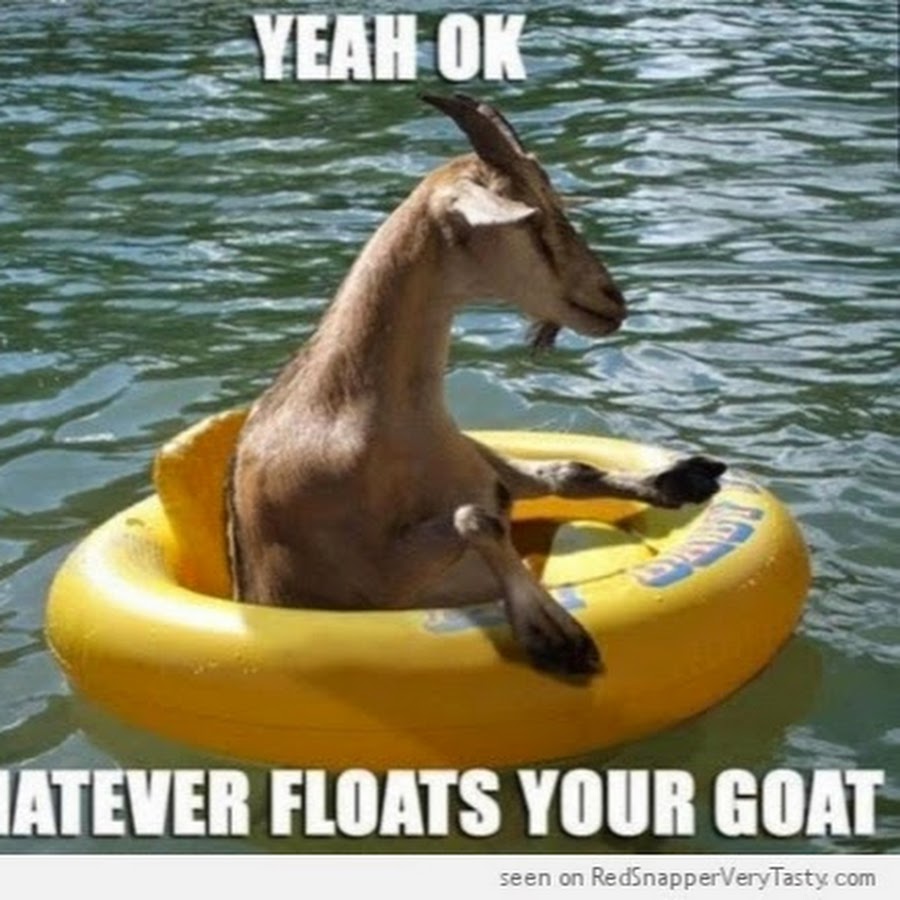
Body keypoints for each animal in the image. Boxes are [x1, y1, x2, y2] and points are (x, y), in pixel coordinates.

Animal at [227, 94, 725, 677]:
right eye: (532, 218)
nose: (611, 299)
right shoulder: (366, 587)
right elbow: (477, 518)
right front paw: (559, 639)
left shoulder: (491, 471)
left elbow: (560, 474)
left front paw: (685, 477)